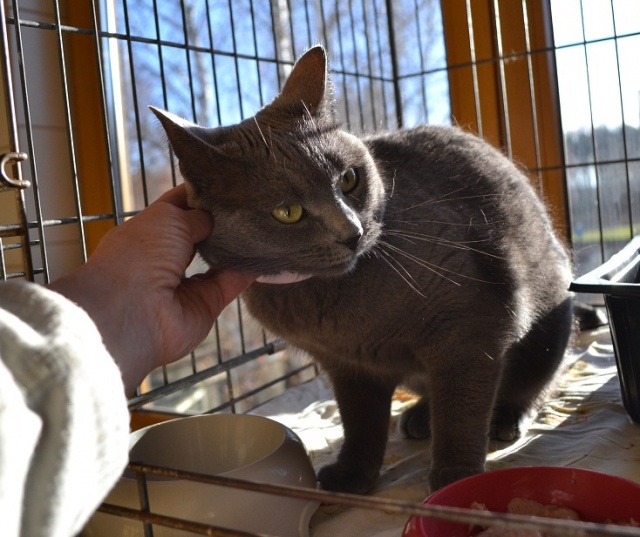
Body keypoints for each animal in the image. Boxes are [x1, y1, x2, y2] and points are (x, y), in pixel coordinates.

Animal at [150, 45, 574, 494]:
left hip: (549, 320)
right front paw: (352, 475)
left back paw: (502, 420)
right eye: (288, 212)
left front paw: (456, 479)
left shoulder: (471, 325)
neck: (335, 308)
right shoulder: (347, 366)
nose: (352, 232)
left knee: (530, 383)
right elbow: (360, 422)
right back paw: (420, 417)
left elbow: (462, 406)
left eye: (350, 179)